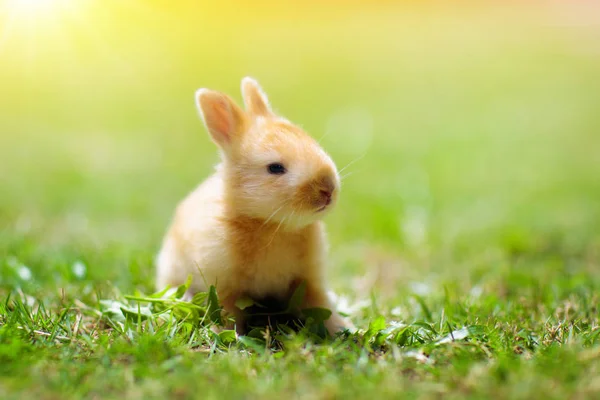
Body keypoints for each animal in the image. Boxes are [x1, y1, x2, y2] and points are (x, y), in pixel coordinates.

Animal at [156, 77, 352, 334]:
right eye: (275, 168)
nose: (327, 189)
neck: (274, 226)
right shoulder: (223, 286)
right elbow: (226, 312)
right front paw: (226, 335)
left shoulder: (309, 281)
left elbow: (320, 305)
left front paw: (343, 328)